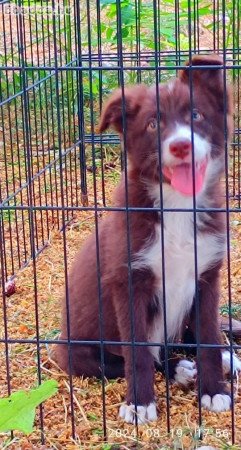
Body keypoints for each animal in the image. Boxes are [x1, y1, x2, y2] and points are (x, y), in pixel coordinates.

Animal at [51, 54, 238, 424]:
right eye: (153, 124)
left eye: (196, 115)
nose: (180, 145)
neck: (177, 205)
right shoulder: (129, 281)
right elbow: (136, 352)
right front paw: (139, 404)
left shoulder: (206, 276)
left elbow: (208, 336)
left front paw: (214, 390)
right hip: (78, 354)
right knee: (130, 360)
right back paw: (178, 369)